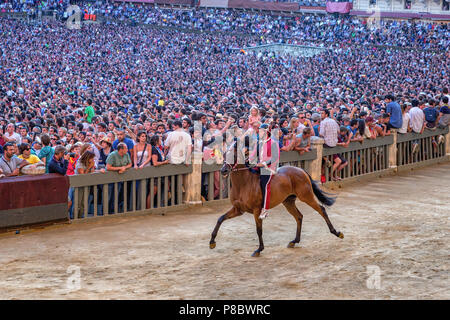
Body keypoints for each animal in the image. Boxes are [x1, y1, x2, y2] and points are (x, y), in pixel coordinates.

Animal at [209, 141, 342, 256]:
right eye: (224, 154)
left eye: (234, 155)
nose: (223, 170)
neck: (243, 183)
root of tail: (300, 170)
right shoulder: (238, 209)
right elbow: (220, 219)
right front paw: (212, 242)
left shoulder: (257, 210)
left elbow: (259, 230)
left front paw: (259, 249)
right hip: (288, 202)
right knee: (299, 216)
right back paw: (294, 241)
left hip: (306, 196)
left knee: (321, 210)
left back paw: (336, 232)